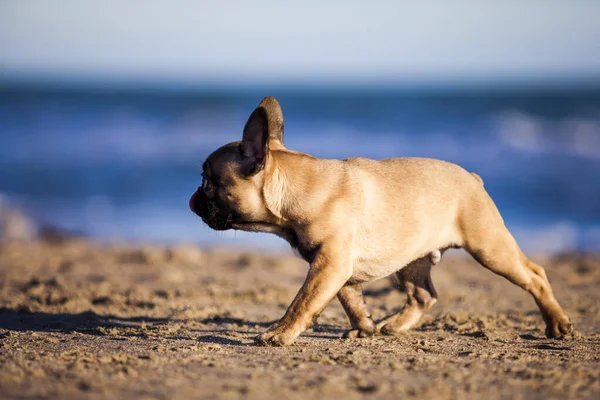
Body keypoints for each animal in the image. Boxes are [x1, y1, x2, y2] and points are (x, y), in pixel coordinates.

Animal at [190, 97, 576, 346]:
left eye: (207, 182)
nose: (192, 201)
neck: (296, 188)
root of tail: (473, 179)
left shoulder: (329, 264)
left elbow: (302, 301)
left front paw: (279, 334)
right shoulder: (335, 268)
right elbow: (350, 300)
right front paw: (364, 328)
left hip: (489, 247)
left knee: (534, 276)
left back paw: (558, 324)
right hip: (411, 261)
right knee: (425, 296)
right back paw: (394, 326)